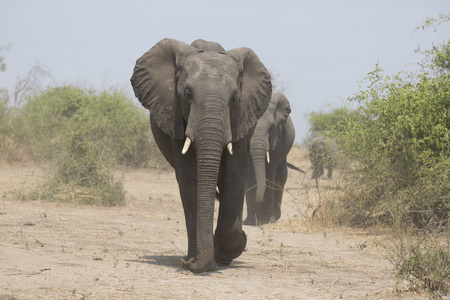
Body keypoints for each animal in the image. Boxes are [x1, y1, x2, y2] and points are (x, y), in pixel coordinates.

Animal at [130, 38, 270, 274]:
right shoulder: (175, 116)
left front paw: (230, 249)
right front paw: (198, 260)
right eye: (187, 94)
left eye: (235, 97)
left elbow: (235, 174)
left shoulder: (241, 118)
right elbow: (189, 178)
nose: (186, 263)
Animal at [243, 93, 296, 225]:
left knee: (281, 176)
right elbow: (250, 175)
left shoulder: (278, 137)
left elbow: (270, 172)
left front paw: (268, 220)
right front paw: (251, 222)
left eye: (271, 128)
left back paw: (275, 217)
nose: (258, 203)